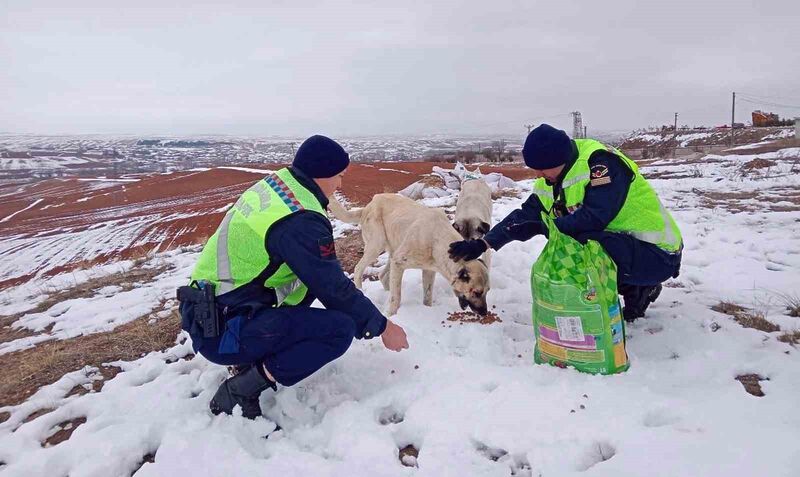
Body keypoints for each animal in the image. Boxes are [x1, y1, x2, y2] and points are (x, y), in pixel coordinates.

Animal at [328, 193, 490, 316]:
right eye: (477, 292)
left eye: (487, 291)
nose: (484, 313)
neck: (437, 240)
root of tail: (369, 205)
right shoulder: (399, 262)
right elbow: (396, 298)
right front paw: (391, 315)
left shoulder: (429, 270)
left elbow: (427, 296)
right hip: (376, 246)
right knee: (358, 269)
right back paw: (362, 290)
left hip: (393, 250)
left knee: (383, 275)